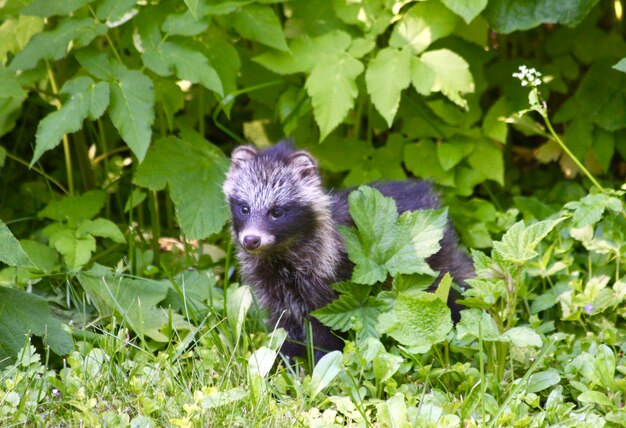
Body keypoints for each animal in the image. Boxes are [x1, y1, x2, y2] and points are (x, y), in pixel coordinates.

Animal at [222, 140, 470, 362]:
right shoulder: (275, 295)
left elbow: (324, 335)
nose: (251, 240)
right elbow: (283, 330)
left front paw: (322, 363)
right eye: (244, 208)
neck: (278, 254)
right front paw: (282, 362)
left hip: (436, 265)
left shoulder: (325, 284)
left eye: (277, 212)